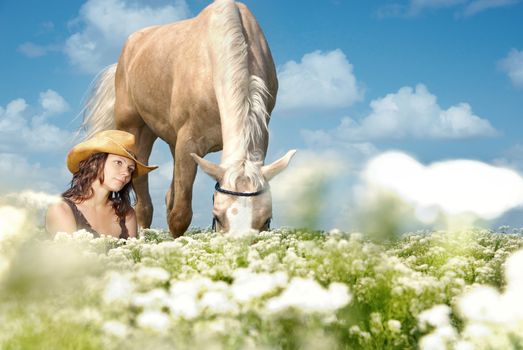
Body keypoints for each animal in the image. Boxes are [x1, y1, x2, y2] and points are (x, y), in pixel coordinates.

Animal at [81, 0, 294, 237]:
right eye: (217, 216)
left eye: (267, 219)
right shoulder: (188, 143)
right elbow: (180, 215)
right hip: (136, 130)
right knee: (143, 200)